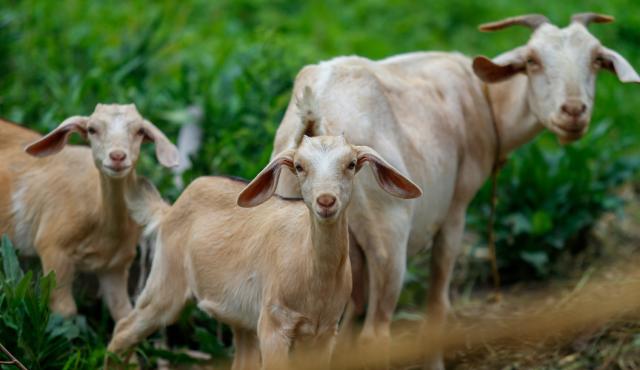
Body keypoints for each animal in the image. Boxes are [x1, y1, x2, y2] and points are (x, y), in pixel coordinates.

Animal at [272, 13, 640, 368]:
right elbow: (438, 303)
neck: (485, 100)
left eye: (596, 59)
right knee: (375, 334)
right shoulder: (455, 209)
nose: (574, 111)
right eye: (532, 60)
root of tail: (314, 108)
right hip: (387, 230)